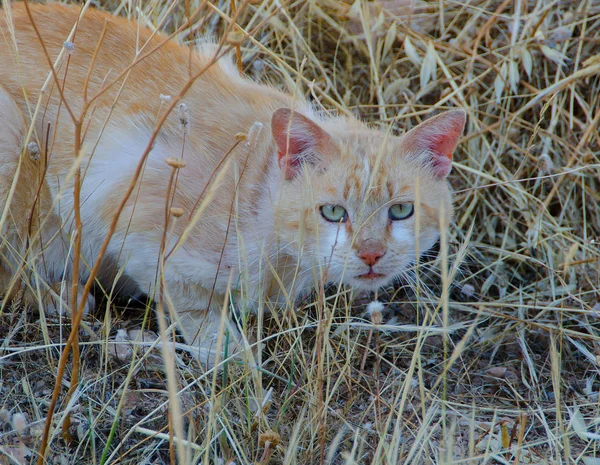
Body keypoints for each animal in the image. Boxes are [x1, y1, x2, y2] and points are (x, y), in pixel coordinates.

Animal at [0, 4, 466, 366]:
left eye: (401, 210)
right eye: (333, 212)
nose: (370, 254)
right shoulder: (127, 202)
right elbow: (201, 317)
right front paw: (235, 361)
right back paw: (60, 295)